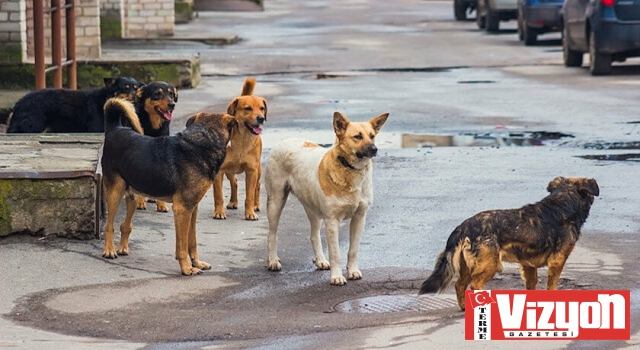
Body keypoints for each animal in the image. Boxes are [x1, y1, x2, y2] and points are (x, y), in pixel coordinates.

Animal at [7, 77, 140, 133]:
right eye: (125, 88)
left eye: (136, 88)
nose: (135, 96)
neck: (106, 99)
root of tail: (19, 103)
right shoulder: (97, 129)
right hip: (33, 126)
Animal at [101, 97, 236, 274]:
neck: (203, 141)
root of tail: (115, 129)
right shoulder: (182, 209)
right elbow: (182, 246)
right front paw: (186, 268)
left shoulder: (192, 209)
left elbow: (192, 242)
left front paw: (197, 263)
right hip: (115, 193)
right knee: (109, 225)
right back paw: (109, 250)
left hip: (132, 196)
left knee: (125, 224)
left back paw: (122, 247)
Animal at [131, 81, 179, 212]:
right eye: (157, 94)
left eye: (171, 94)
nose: (172, 105)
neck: (153, 127)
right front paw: (140, 202)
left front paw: (161, 204)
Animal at [214, 77, 266, 220]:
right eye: (248, 108)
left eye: (262, 108)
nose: (261, 118)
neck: (242, 140)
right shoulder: (219, 171)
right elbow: (218, 195)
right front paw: (219, 212)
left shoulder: (252, 171)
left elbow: (249, 196)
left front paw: (250, 213)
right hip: (229, 170)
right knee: (235, 182)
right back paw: (233, 202)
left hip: (258, 170)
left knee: (257, 186)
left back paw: (256, 205)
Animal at [262, 110, 388, 286]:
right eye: (357, 136)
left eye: (372, 136)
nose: (374, 149)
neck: (350, 170)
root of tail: (285, 140)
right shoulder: (332, 221)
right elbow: (335, 254)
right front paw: (336, 277)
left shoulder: (359, 218)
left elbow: (353, 250)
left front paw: (353, 271)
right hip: (276, 202)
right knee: (272, 234)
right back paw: (273, 261)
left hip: (312, 208)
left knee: (314, 235)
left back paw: (320, 260)